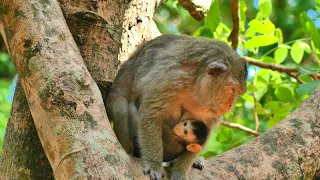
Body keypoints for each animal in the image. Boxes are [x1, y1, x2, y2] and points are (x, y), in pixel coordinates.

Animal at [107, 34, 248, 179]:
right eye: (232, 89)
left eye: (238, 92)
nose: (230, 105)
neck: (197, 84)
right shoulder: (173, 80)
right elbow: (150, 114)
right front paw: (154, 164)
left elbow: (205, 129)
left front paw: (180, 171)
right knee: (123, 109)